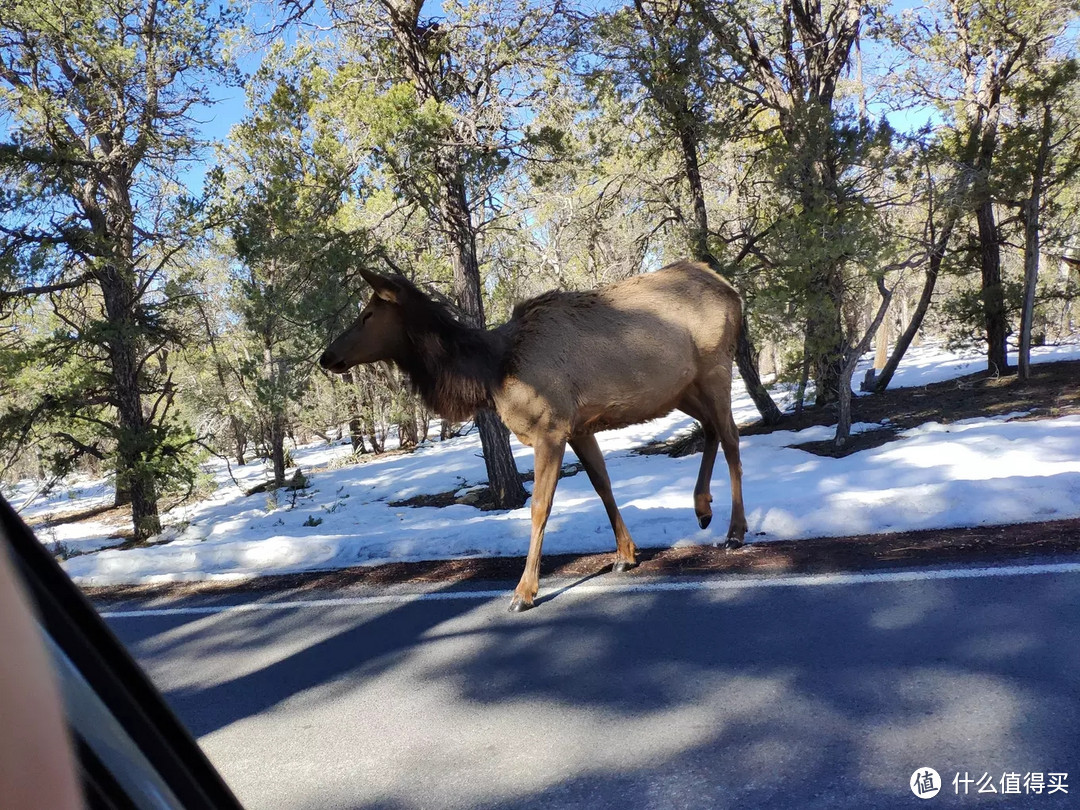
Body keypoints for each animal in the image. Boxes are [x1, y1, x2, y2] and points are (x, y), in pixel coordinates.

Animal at [317, 263, 743, 613]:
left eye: (368, 314)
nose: (326, 357)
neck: (491, 373)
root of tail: (730, 289)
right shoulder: (580, 427)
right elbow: (603, 485)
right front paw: (626, 554)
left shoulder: (549, 428)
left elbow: (540, 506)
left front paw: (524, 592)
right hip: (681, 389)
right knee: (711, 429)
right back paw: (702, 507)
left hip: (716, 367)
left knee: (732, 438)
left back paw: (735, 531)